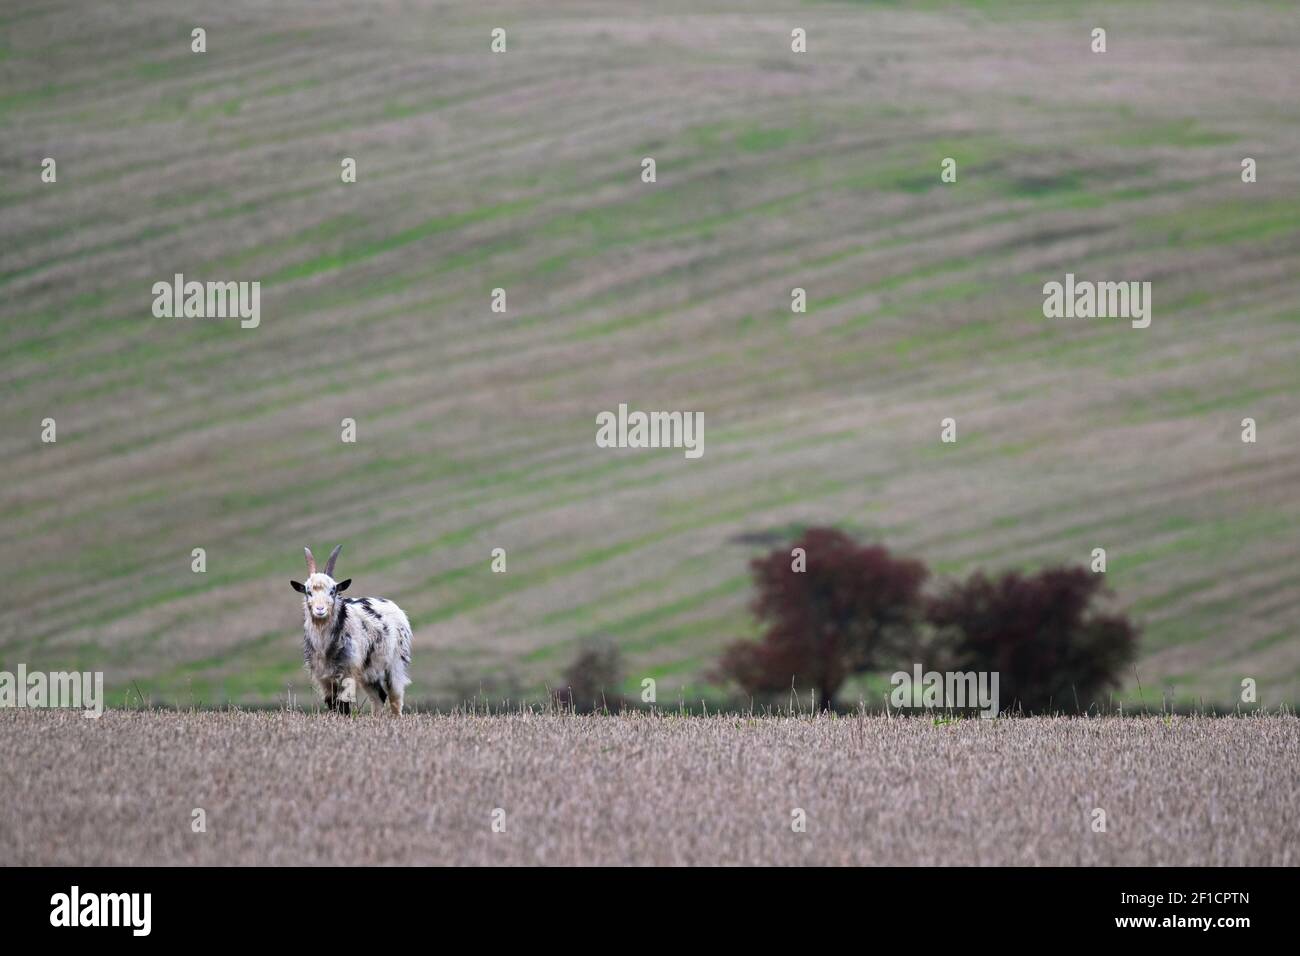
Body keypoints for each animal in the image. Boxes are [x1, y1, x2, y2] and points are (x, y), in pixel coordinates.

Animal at [289, 548, 410, 712]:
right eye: (308, 592)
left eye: (333, 591)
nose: (320, 610)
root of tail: (395, 607)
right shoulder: (323, 678)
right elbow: (333, 705)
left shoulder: (348, 671)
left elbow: (344, 705)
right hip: (368, 670)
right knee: (378, 696)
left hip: (395, 662)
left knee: (395, 698)